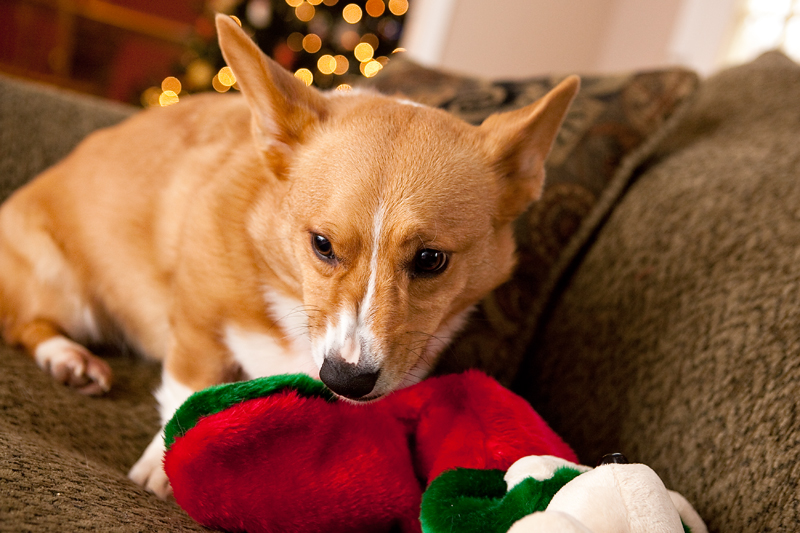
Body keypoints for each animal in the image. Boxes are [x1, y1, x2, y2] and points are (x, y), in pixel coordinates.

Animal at [0, 14, 580, 496]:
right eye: (321, 244)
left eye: (431, 260)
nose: (345, 380)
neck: (286, 288)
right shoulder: (196, 325)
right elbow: (188, 388)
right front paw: (159, 471)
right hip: (65, 287)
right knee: (25, 323)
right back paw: (69, 359)